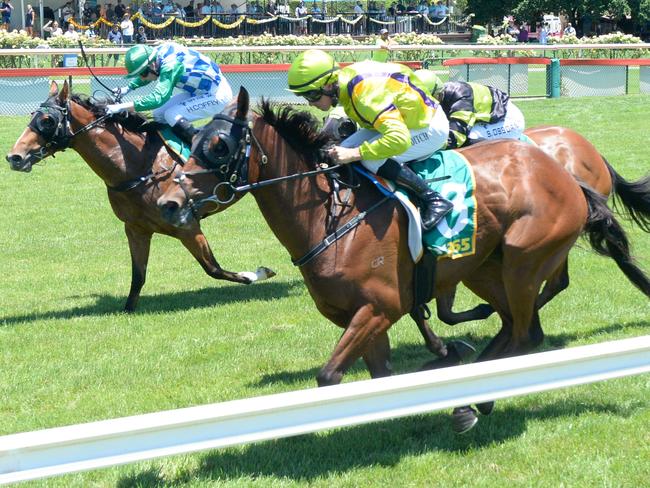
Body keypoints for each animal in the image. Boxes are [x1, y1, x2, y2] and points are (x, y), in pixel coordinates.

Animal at [3, 81, 270, 312]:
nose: (14, 157)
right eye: (32, 116)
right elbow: (138, 276)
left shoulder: (186, 225)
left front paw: (256, 273)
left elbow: (212, 267)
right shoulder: (136, 228)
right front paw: (128, 308)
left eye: (48, 120)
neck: (140, 167)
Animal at [157, 89, 648, 432]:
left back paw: (476, 399)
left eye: (220, 146)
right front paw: (439, 361)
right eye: (191, 140)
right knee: (513, 326)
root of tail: (563, 174)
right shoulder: (362, 316)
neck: (331, 215)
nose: (168, 202)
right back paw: (468, 396)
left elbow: (329, 375)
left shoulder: (380, 308)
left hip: (523, 262)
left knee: (528, 332)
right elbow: (383, 375)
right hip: (485, 268)